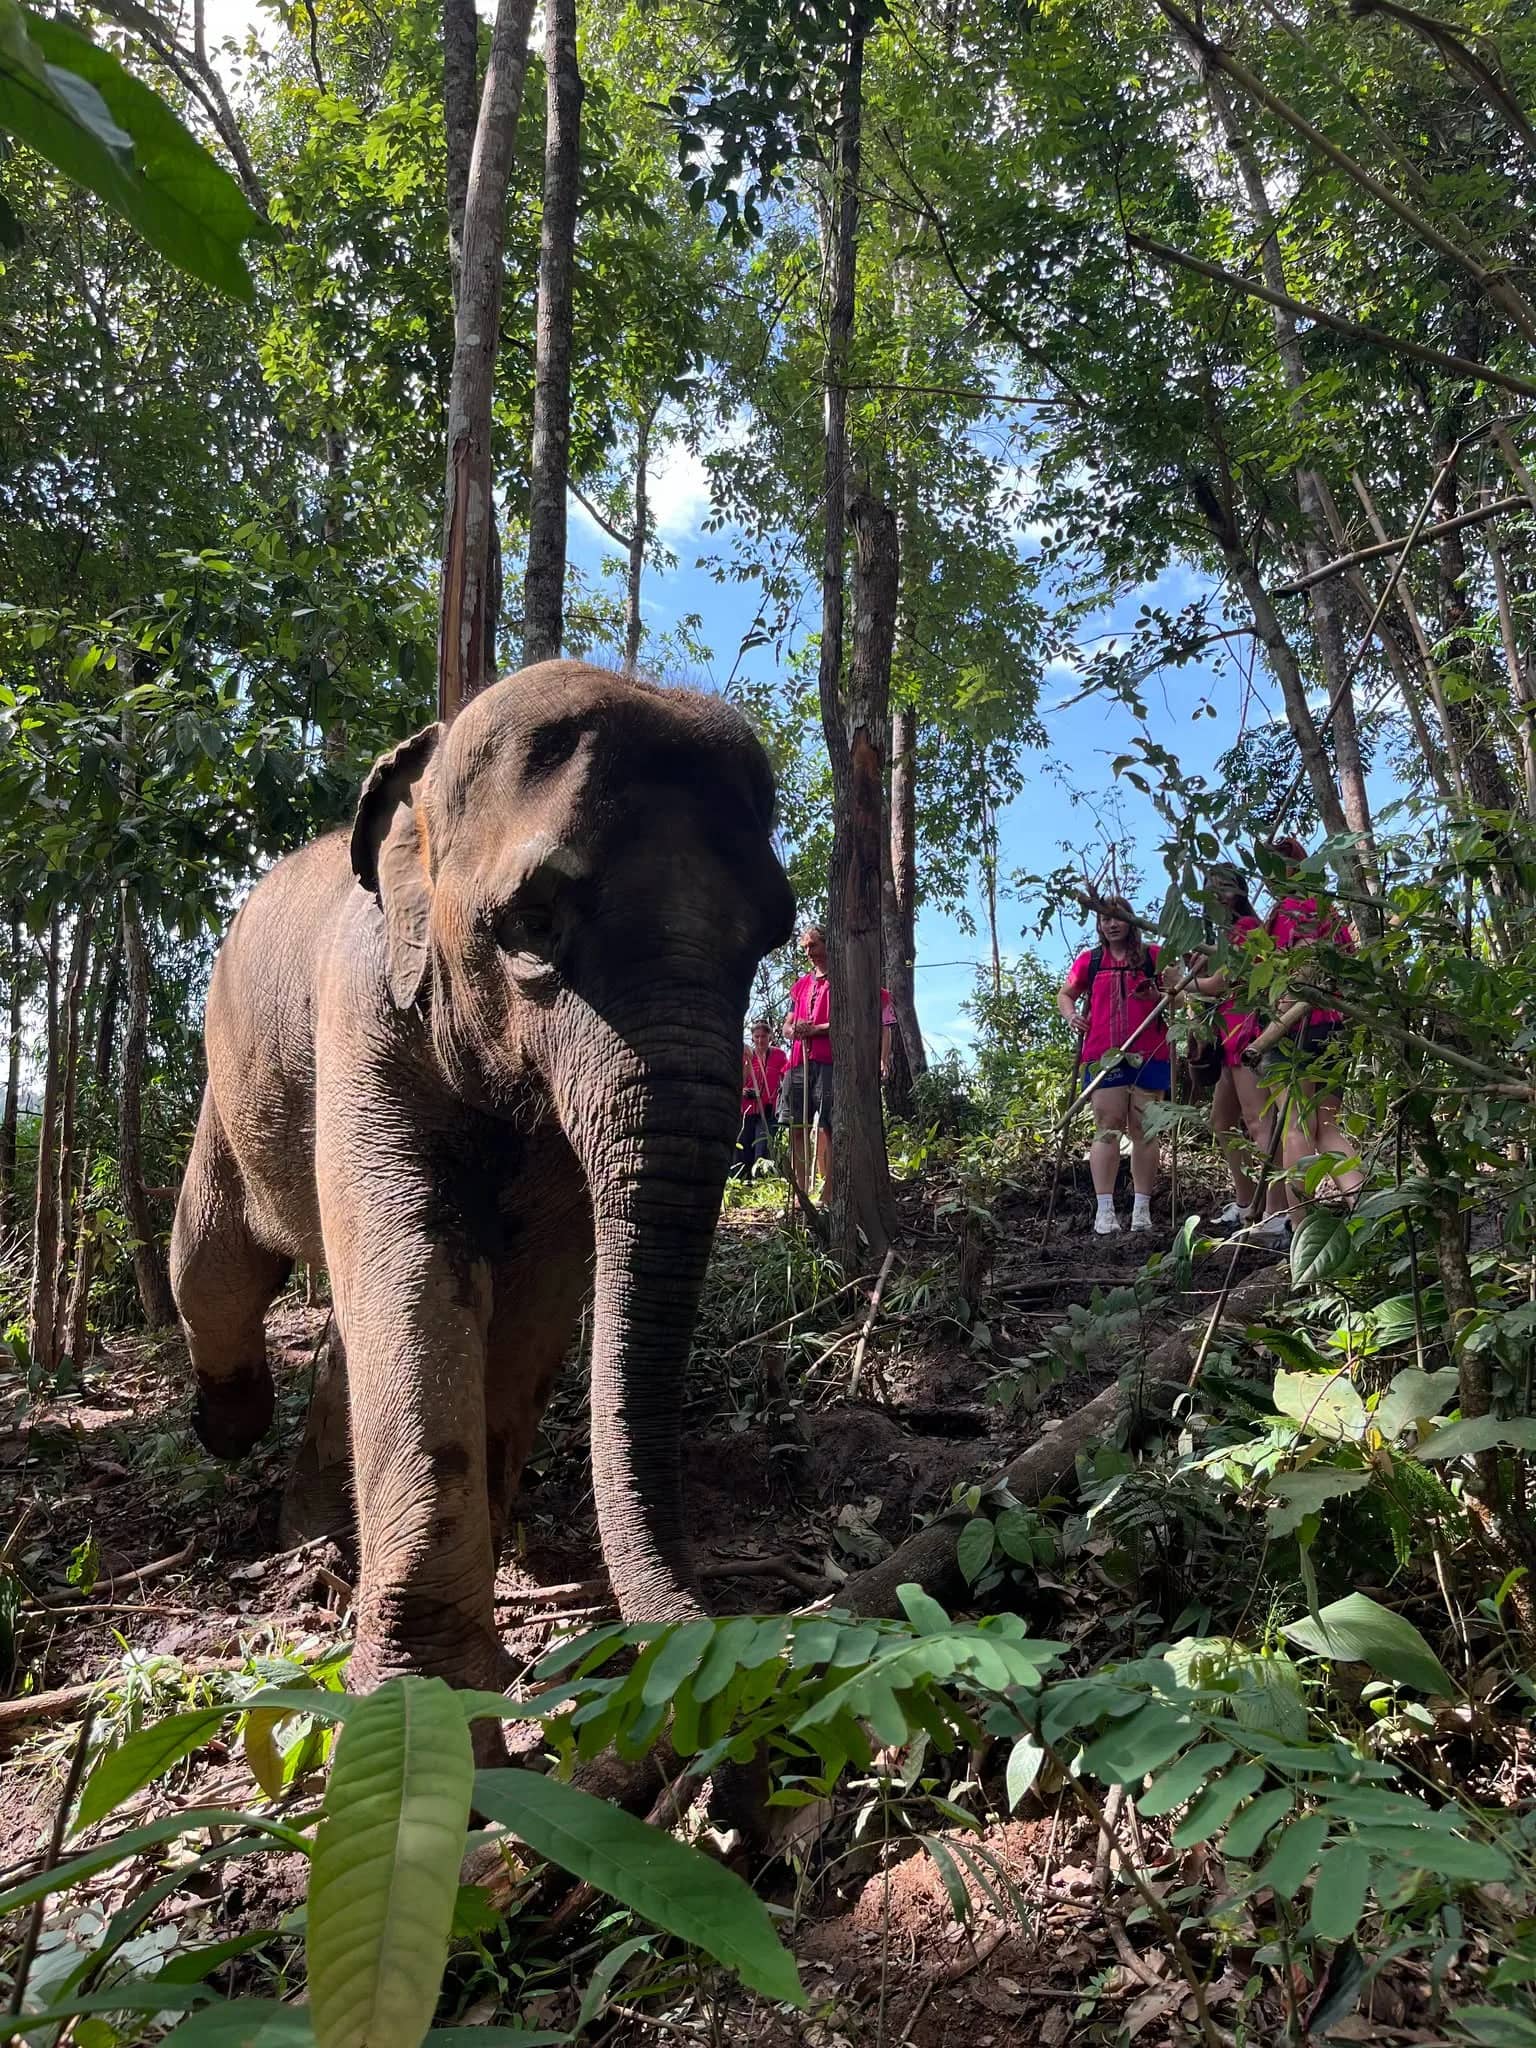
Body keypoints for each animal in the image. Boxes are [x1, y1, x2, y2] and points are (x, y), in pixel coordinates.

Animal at [171, 660, 795, 1703]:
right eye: (534, 924)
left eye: (768, 940)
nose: (730, 1646)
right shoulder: (362, 1016)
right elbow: (412, 1260)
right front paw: (428, 1693)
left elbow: (540, 1285)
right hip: (227, 1093)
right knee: (213, 1269)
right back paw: (229, 1430)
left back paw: (313, 1536)